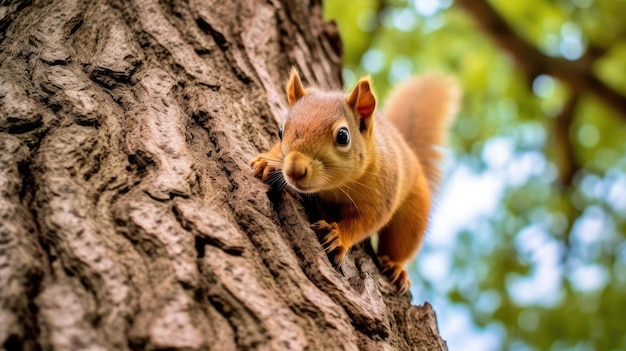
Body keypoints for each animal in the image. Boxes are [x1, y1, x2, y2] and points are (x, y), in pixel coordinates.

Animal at [249, 69, 458, 294]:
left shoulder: (381, 197)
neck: (335, 186)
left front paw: (338, 236)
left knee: (400, 242)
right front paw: (268, 162)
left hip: (413, 214)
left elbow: (363, 223)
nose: (294, 170)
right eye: (280, 131)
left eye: (343, 136)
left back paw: (396, 267)